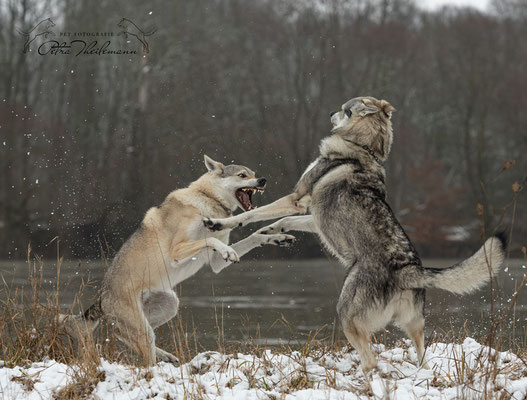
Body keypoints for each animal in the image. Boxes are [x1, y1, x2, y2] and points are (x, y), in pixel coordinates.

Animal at [60, 155, 296, 366]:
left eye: (254, 173)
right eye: (242, 175)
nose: (262, 180)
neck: (207, 199)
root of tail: (101, 299)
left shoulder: (216, 264)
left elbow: (254, 236)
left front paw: (278, 237)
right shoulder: (177, 250)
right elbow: (210, 239)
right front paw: (229, 250)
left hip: (169, 305)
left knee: (124, 336)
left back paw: (166, 355)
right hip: (143, 328)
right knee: (141, 353)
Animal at [204, 96, 506, 372]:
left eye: (343, 108)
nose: (329, 112)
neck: (362, 148)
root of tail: (409, 271)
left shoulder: (297, 199)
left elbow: (250, 215)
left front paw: (219, 223)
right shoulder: (313, 216)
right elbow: (285, 220)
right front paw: (273, 231)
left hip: (347, 316)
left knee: (371, 361)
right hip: (414, 328)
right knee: (422, 358)